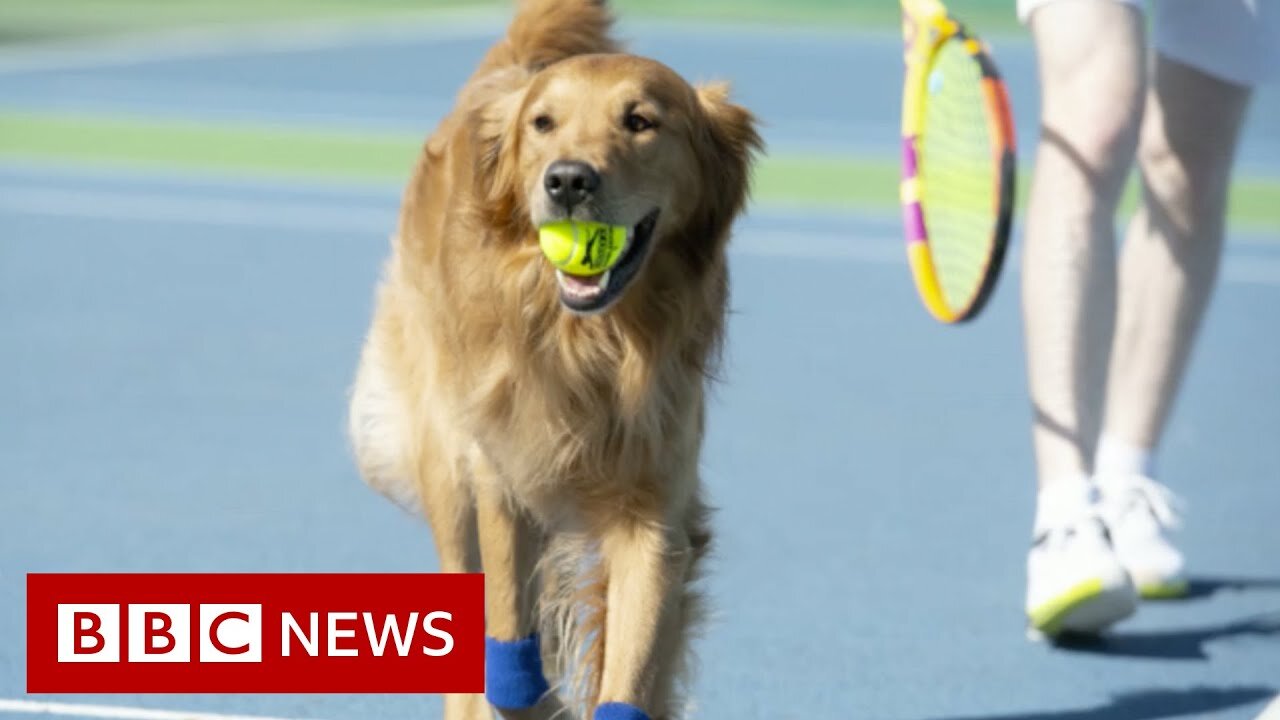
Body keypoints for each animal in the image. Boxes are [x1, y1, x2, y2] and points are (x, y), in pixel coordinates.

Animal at [348, 2, 757, 712]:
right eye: (543, 123)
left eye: (640, 121)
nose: (568, 180)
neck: (588, 347)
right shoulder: (501, 475)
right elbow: (510, 648)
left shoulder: (654, 513)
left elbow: (630, 672)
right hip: (446, 467)